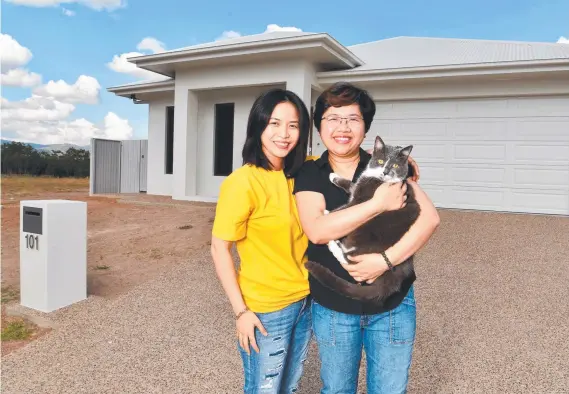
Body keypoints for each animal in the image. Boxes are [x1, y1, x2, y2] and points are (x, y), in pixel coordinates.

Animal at [304, 135, 420, 308]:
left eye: (395, 165)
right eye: (380, 161)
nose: (385, 172)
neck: (378, 180)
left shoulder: (362, 200)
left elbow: (344, 208)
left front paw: (327, 213)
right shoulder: (359, 187)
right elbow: (352, 185)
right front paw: (334, 176)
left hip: (366, 231)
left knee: (349, 259)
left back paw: (332, 244)